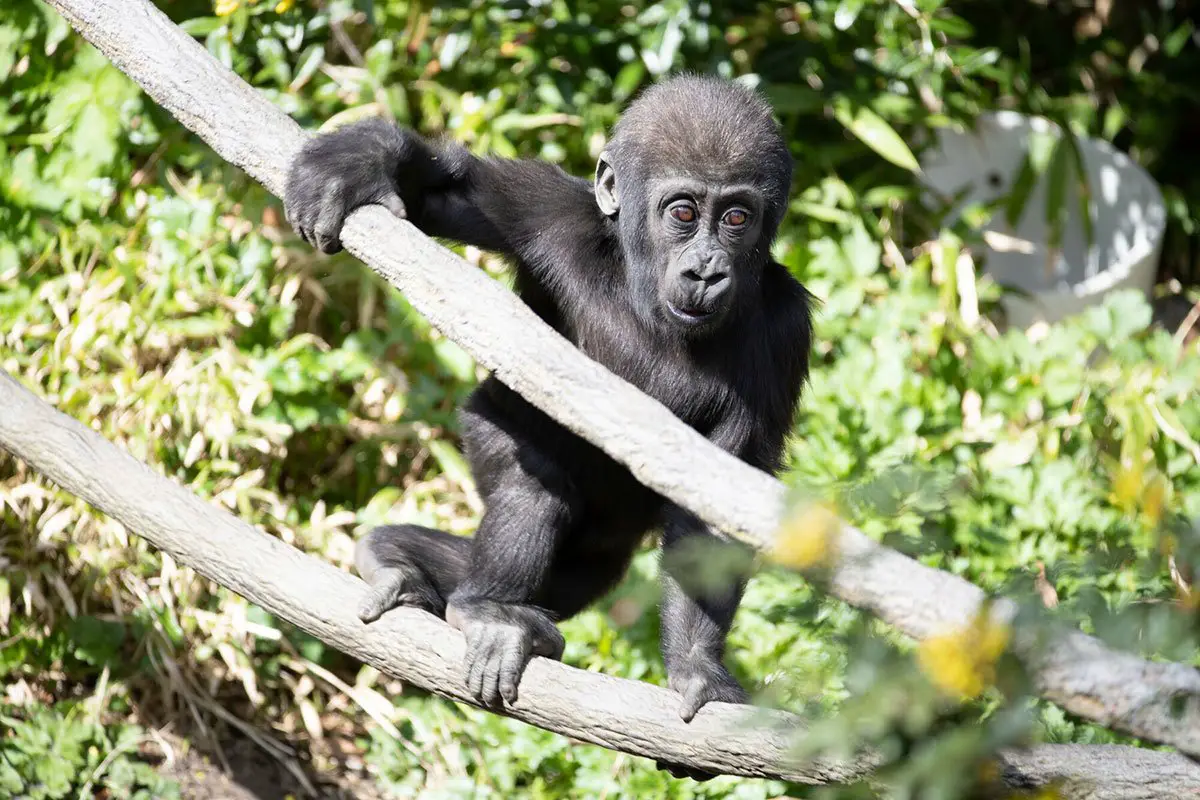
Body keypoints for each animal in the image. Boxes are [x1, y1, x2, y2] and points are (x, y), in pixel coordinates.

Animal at [288, 74, 816, 724]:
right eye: (684, 213)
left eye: (738, 217)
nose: (706, 270)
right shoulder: (547, 211)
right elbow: (446, 194)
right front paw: (360, 160)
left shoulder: (785, 330)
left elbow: (717, 505)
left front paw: (697, 665)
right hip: (486, 428)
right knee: (533, 483)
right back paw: (479, 604)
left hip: (601, 551)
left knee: (570, 577)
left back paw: (398, 560)